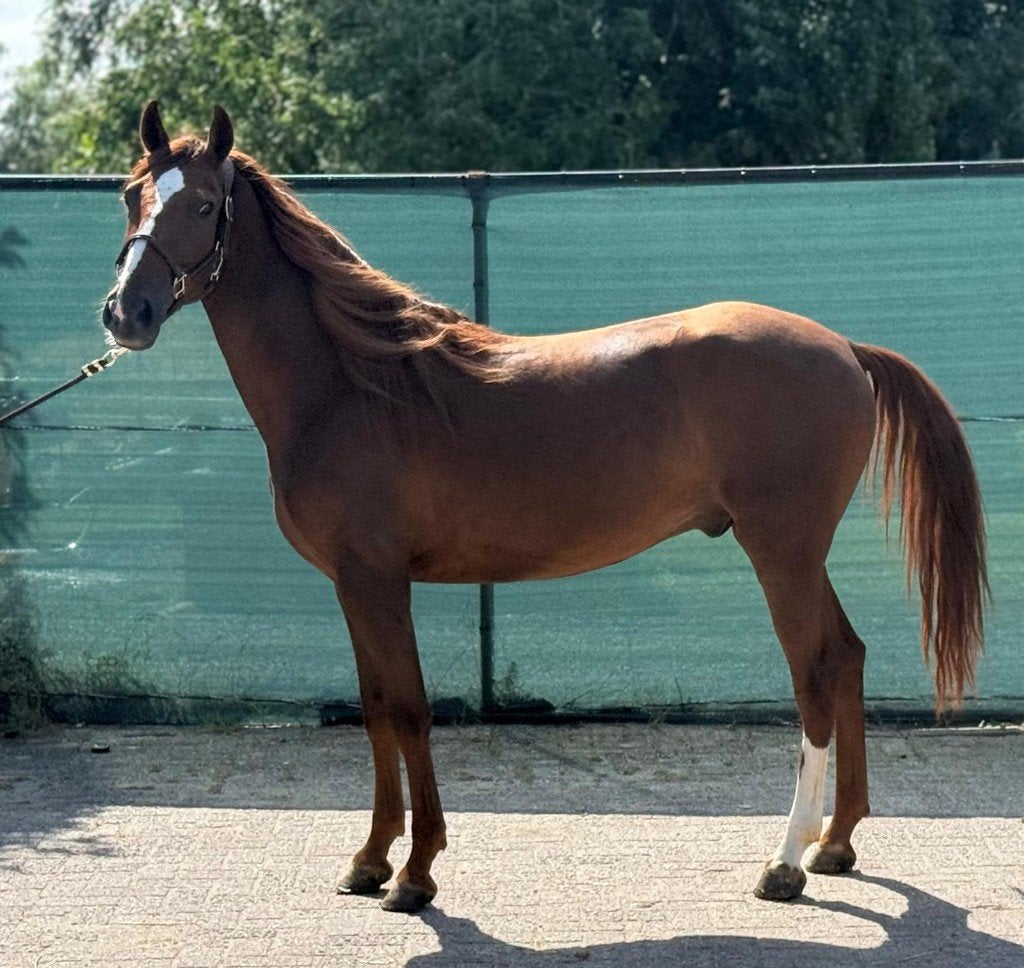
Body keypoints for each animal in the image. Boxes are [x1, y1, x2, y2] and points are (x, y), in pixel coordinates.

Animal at [101, 102, 987, 914]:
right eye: (131, 195)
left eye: (203, 205)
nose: (124, 314)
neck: (357, 386)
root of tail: (843, 348)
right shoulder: (352, 586)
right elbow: (377, 711)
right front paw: (370, 860)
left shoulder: (379, 581)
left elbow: (411, 712)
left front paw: (416, 873)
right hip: (799, 554)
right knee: (850, 655)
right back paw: (836, 843)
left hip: (782, 552)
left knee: (816, 670)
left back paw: (786, 860)